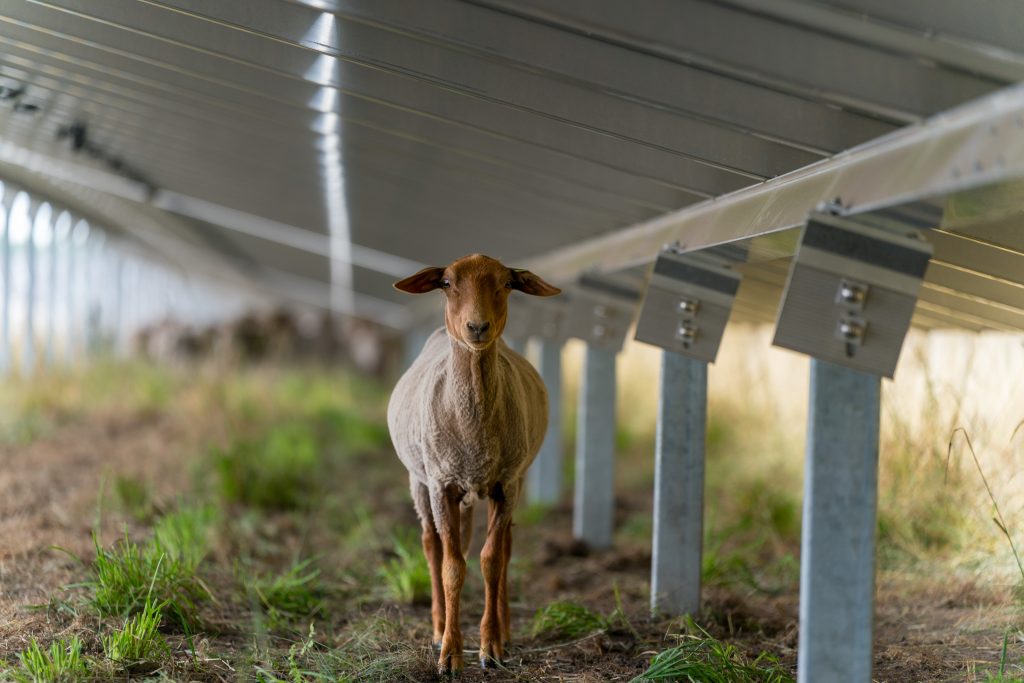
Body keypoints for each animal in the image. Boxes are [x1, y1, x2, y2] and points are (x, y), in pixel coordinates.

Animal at [387, 254, 561, 674]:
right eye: (447, 283)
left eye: (506, 283)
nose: (477, 327)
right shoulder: (441, 483)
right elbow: (452, 567)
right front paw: (450, 653)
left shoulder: (506, 483)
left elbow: (491, 560)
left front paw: (491, 646)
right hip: (422, 482)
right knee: (432, 546)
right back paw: (437, 630)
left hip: (501, 483)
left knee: (498, 547)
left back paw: (505, 629)